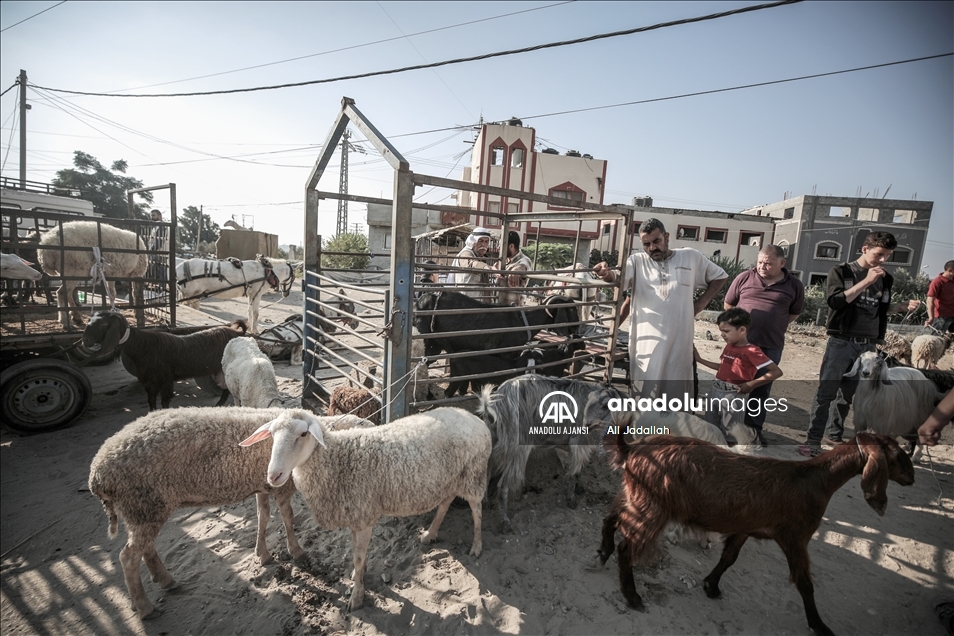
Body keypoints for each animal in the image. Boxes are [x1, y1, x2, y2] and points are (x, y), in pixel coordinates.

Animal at [82, 310, 247, 410]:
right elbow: (151, 401)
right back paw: (219, 404)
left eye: (104, 324)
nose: (85, 340)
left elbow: (165, 402)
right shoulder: (149, 381)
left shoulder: (165, 379)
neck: (142, 346)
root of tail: (237, 331)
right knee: (226, 387)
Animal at [88, 404, 372, 620]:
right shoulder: (280, 485)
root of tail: (97, 475)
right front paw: (295, 551)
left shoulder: (262, 483)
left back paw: (164, 579)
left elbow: (262, 516)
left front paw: (263, 554)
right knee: (128, 557)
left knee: (144, 548)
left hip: (142, 510)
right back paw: (145, 606)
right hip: (142, 505)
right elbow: (288, 518)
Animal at [238, 408, 490, 612]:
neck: (338, 459)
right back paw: (430, 534)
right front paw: (358, 574)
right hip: (451, 478)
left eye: (303, 434)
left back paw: (477, 546)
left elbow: (358, 558)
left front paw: (357, 596)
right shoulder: (355, 515)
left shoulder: (364, 516)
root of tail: (475, 418)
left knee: (477, 509)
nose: (273, 475)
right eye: (272, 435)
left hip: (474, 473)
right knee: (446, 502)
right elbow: (356, 551)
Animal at [474, 378, 624, 532]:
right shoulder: (578, 441)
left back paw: (485, 502)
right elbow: (574, 472)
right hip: (516, 447)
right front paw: (571, 499)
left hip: (492, 439)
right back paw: (505, 522)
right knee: (502, 485)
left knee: (486, 470)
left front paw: (579, 488)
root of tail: (492, 404)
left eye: (607, 406)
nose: (588, 424)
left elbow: (578, 469)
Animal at [596, 428, 916, 636]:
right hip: (653, 505)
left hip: (637, 495)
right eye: (897, 454)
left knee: (611, 518)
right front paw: (819, 625)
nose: (912, 478)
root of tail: (632, 448)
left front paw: (711, 586)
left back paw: (603, 551)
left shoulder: (746, 527)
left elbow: (729, 558)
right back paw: (632, 595)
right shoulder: (795, 537)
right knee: (627, 546)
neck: (813, 480)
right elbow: (805, 583)